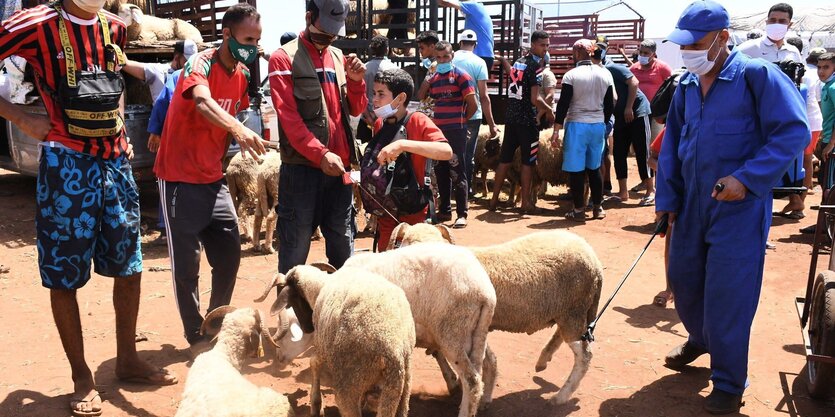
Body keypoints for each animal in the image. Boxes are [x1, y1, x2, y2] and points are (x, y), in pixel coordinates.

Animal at [260, 264, 414, 417]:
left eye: (294, 301)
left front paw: (316, 405)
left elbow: (313, 362)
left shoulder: (322, 344)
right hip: (400, 388)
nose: (307, 327)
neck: (320, 287)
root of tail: (393, 352)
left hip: (349, 384)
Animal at [386, 223, 600, 404]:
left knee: (584, 355)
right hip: (569, 311)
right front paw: (459, 384)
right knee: (563, 337)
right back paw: (542, 361)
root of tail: (593, 259)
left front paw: (475, 393)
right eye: (407, 242)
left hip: (573, 310)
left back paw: (561, 396)